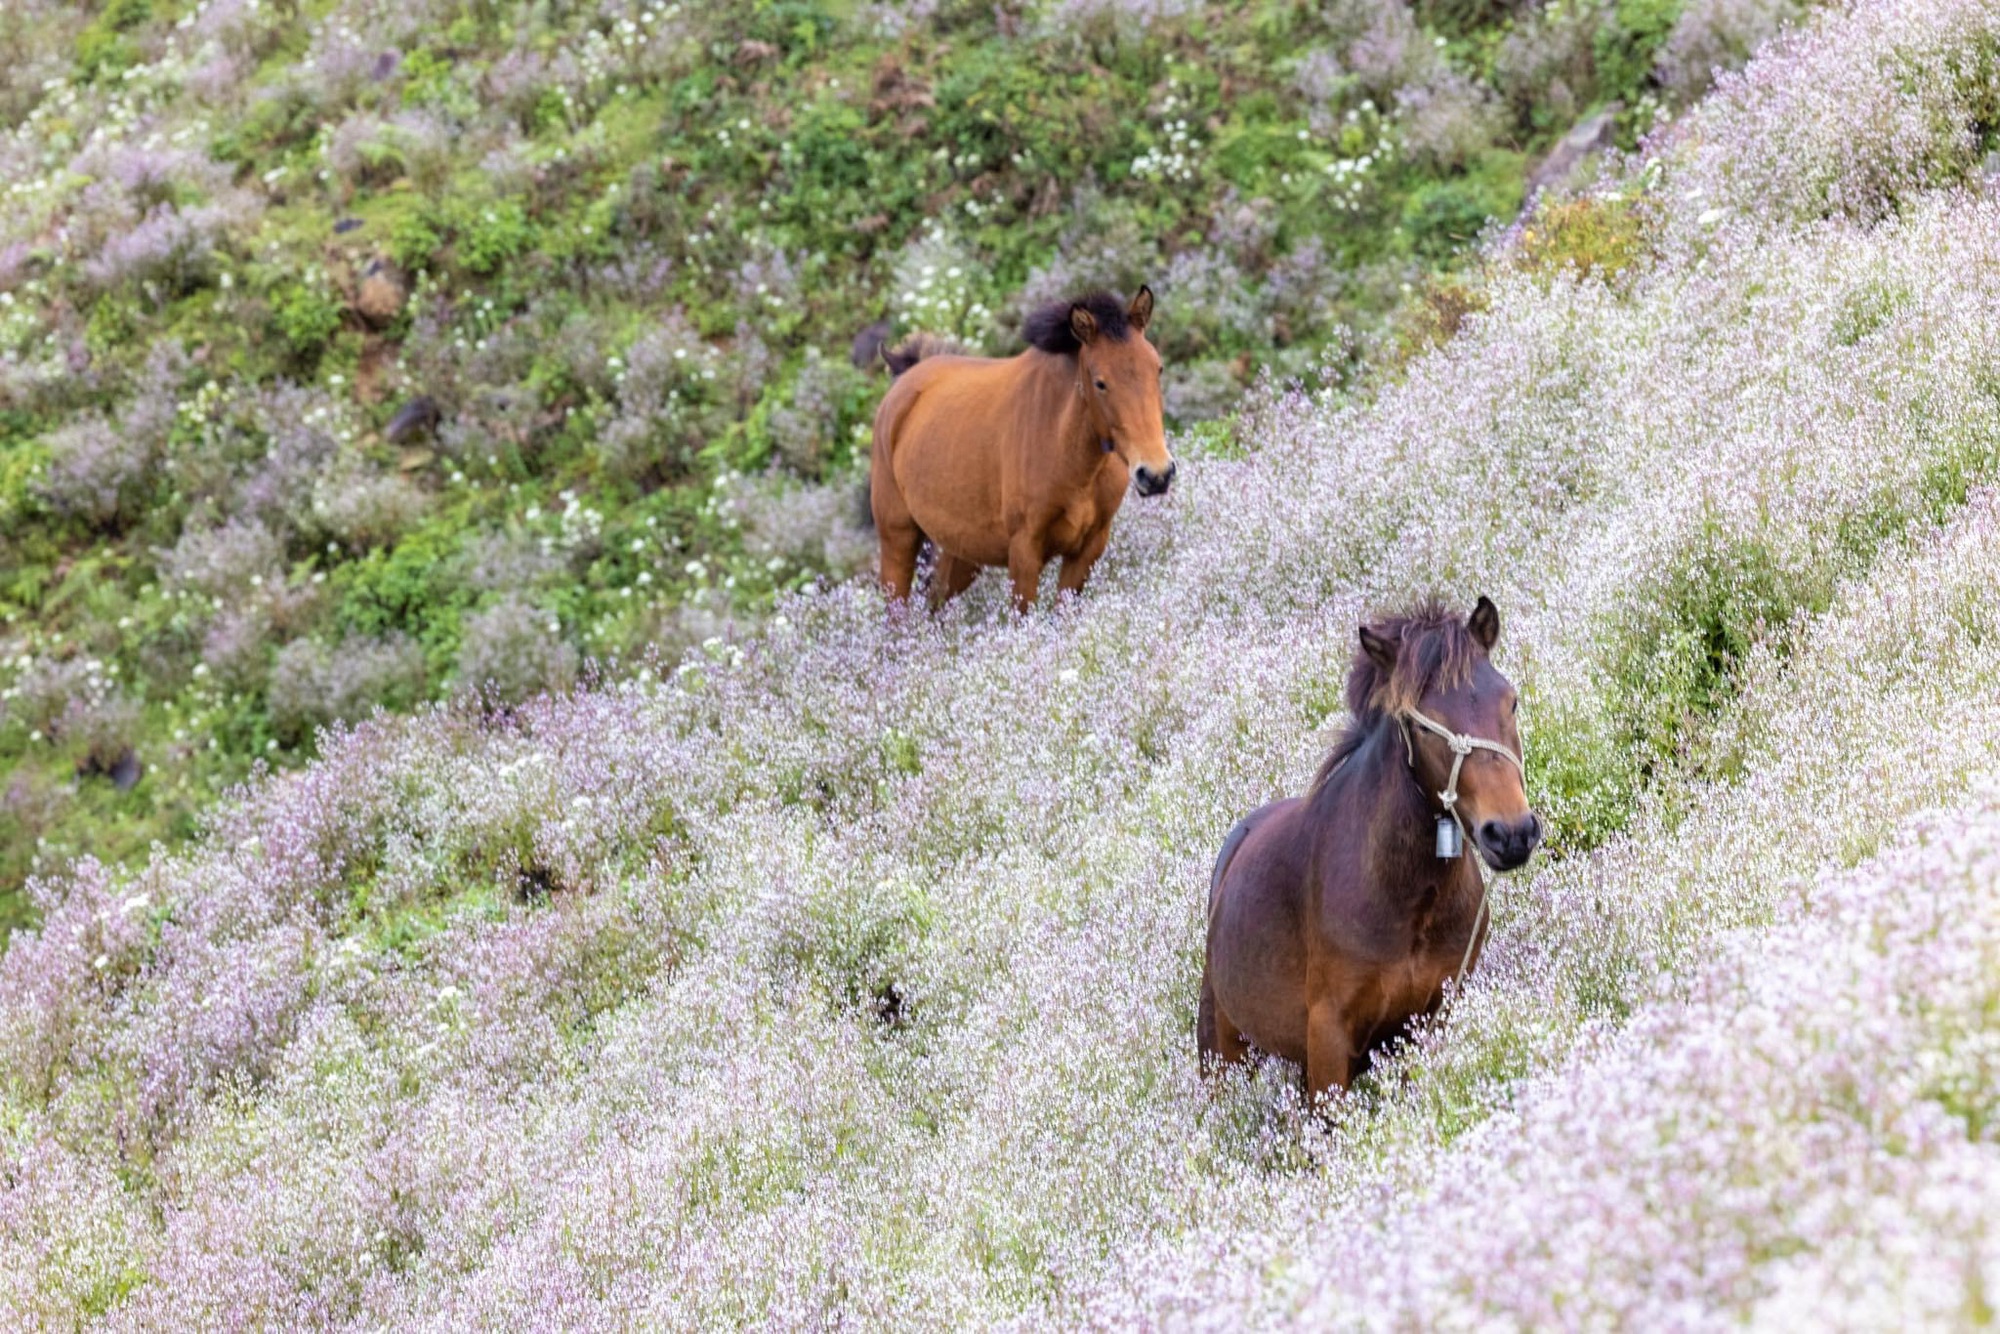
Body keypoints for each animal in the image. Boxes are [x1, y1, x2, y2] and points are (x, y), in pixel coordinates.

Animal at [872, 290, 1168, 612]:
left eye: (1158, 369)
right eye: (1100, 382)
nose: (1157, 474)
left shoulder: (1088, 549)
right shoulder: (1024, 552)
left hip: (960, 554)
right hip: (898, 540)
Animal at [1200, 600, 1544, 1104]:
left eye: (1510, 701)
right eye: (1420, 724)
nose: (1511, 833)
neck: (1402, 897)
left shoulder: (1435, 1013)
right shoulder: (1328, 1035)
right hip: (1223, 1053)